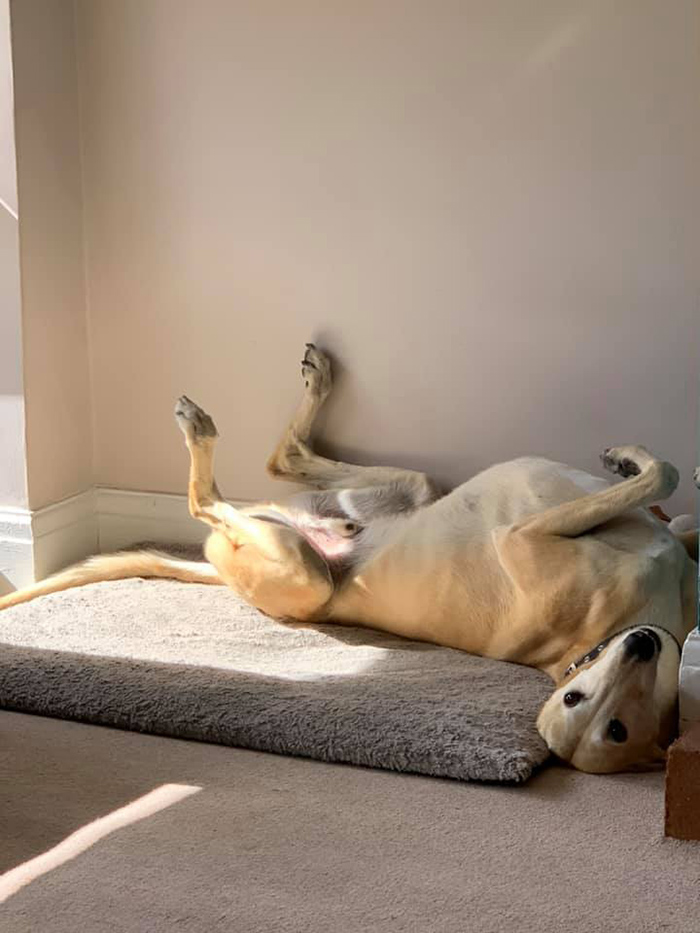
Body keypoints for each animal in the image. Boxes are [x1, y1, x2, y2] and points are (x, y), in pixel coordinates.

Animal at [2, 342, 696, 772]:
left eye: (615, 729)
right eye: (574, 701)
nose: (641, 645)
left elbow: (665, 488)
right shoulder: (525, 536)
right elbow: (662, 480)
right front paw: (637, 466)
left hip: (309, 553)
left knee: (238, 484)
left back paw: (213, 424)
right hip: (379, 512)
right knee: (245, 477)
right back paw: (249, 411)